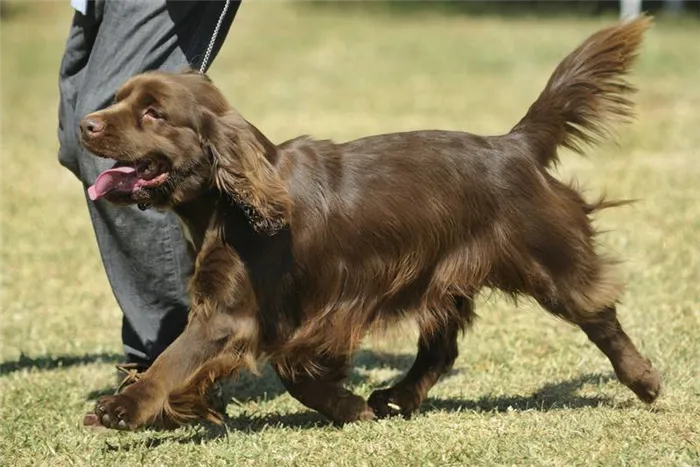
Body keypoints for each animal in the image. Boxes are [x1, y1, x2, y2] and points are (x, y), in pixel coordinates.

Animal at [79, 16, 660, 430]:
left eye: (153, 112)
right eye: (119, 100)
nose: (85, 124)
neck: (230, 202)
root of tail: (515, 144)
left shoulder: (236, 313)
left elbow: (175, 359)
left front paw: (123, 407)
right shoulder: (286, 313)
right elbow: (290, 373)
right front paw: (350, 406)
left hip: (547, 260)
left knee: (598, 314)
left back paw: (645, 381)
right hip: (441, 275)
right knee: (442, 347)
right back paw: (397, 398)